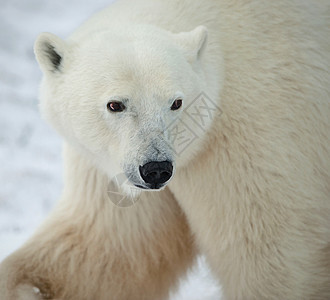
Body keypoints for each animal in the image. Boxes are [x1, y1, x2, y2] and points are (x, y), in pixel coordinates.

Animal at [0, 0, 330, 298]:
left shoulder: (255, 139)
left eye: (176, 102)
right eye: (115, 104)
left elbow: (272, 255)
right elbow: (105, 248)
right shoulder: (109, 170)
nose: (156, 169)